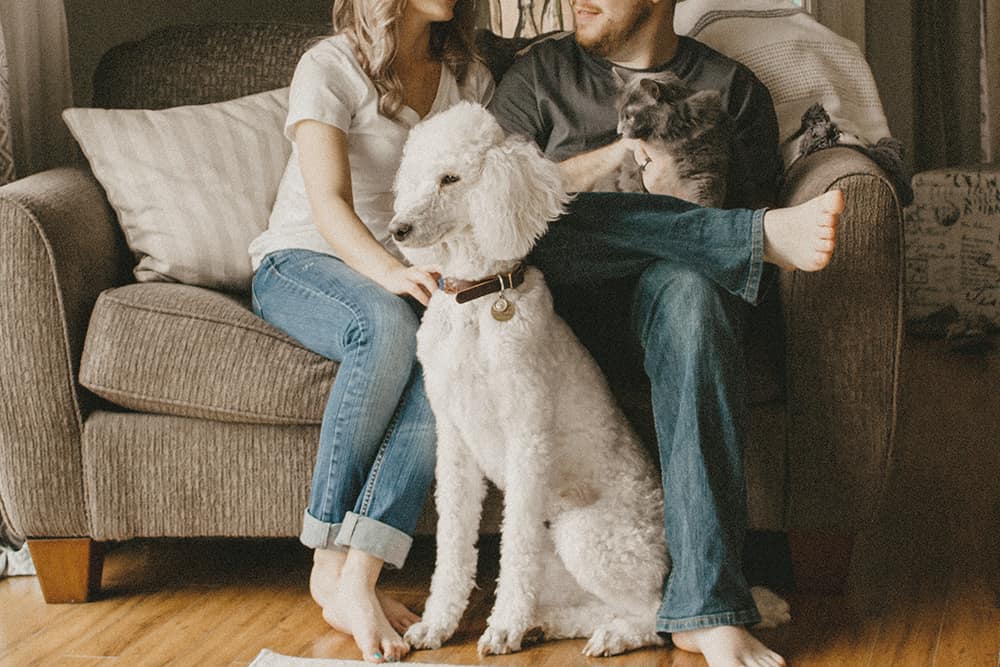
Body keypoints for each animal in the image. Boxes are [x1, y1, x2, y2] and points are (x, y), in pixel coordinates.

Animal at [390, 103, 788, 656]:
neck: (478, 299)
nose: (397, 229)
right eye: (414, 175)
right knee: (596, 605)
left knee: (656, 618)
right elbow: (452, 545)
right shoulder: (453, 443)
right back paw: (548, 624)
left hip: (587, 535)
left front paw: (503, 626)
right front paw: (437, 623)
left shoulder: (527, 438)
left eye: (450, 178)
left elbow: (515, 550)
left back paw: (610, 635)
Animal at [612, 70, 732, 206]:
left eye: (630, 117)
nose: (619, 131)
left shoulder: (704, 173)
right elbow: (631, 181)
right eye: (620, 114)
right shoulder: (630, 162)